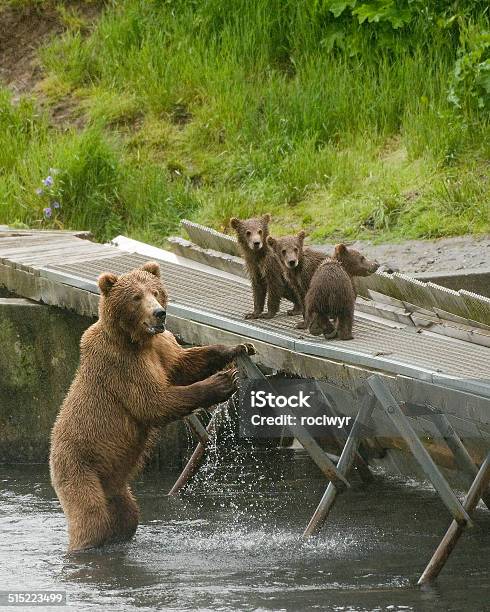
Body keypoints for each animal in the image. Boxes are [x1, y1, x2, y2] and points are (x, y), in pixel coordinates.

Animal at [50, 260, 255, 552]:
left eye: (156, 291)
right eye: (136, 297)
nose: (160, 313)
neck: (137, 339)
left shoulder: (162, 347)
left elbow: (184, 364)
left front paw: (238, 348)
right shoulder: (121, 363)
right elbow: (152, 402)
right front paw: (223, 381)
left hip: (116, 487)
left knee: (128, 515)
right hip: (79, 468)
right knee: (91, 518)